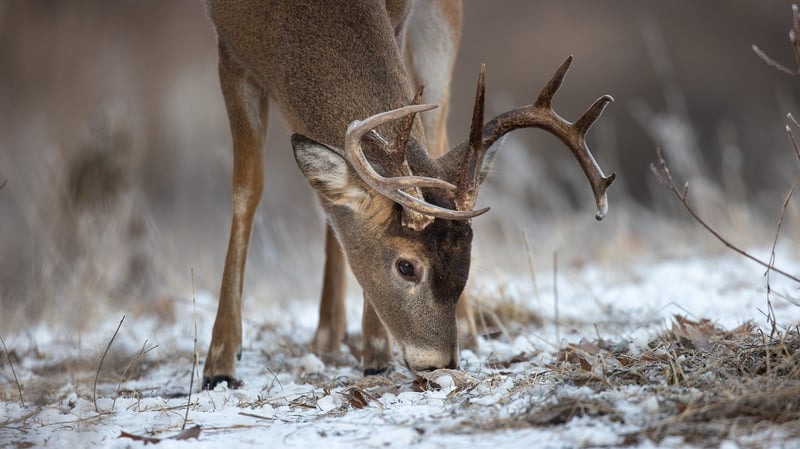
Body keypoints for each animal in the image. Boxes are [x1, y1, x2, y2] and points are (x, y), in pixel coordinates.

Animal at [202, 0, 615, 389]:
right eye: (406, 266)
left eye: (468, 261)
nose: (440, 364)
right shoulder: (228, 49)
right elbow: (248, 188)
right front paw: (219, 364)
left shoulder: (398, 21)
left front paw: (376, 353)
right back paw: (326, 336)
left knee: (436, 132)